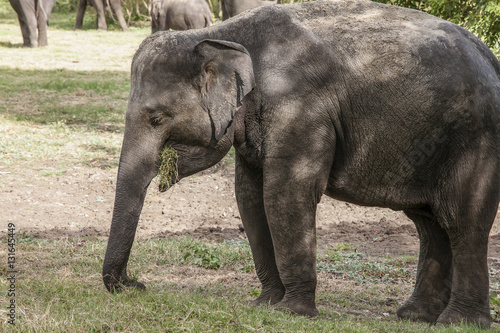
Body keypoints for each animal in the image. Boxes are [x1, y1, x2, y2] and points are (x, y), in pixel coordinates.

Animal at [101, 0, 500, 326]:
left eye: (157, 118)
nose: (135, 284)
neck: (219, 36)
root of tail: (491, 60)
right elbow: (249, 196)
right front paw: (264, 305)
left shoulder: (301, 107)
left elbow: (285, 192)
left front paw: (292, 313)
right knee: (428, 222)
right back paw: (416, 316)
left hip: (476, 137)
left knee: (461, 220)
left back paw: (458, 322)